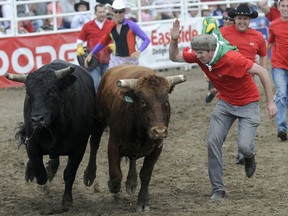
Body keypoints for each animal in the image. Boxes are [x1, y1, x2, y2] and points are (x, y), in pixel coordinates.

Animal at [4, 59, 97, 209]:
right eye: (28, 93)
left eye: (52, 90)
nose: (37, 119)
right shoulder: (32, 143)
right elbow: (40, 173)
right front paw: (34, 171)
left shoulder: (79, 147)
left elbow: (69, 173)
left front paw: (67, 200)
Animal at [84, 64, 187, 213]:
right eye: (143, 101)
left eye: (166, 100)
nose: (159, 131)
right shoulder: (113, 145)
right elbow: (115, 176)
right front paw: (111, 185)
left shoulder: (157, 148)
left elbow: (145, 174)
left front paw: (143, 201)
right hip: (99, 119)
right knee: (94, 144)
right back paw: (89, 175)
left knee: (132, 158)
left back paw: (131, 182)